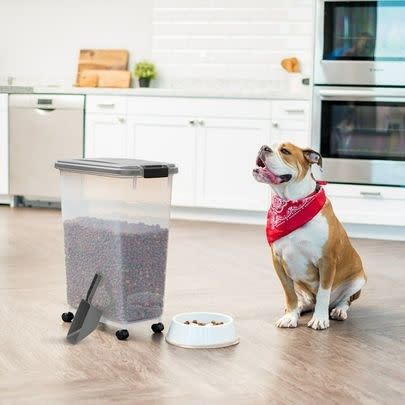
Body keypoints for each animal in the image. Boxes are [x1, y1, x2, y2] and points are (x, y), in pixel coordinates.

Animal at [252, 142, 366, 328]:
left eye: (285, 151)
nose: (263, 147)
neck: (291, 202)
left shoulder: (327, 261)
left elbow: (323, 293)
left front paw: (319, 319)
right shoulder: (278, 262)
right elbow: (289, 294)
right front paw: (290, 316)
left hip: (358, 280)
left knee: (345, 300)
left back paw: (338, 310)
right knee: (303, 301)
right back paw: (299, 308)